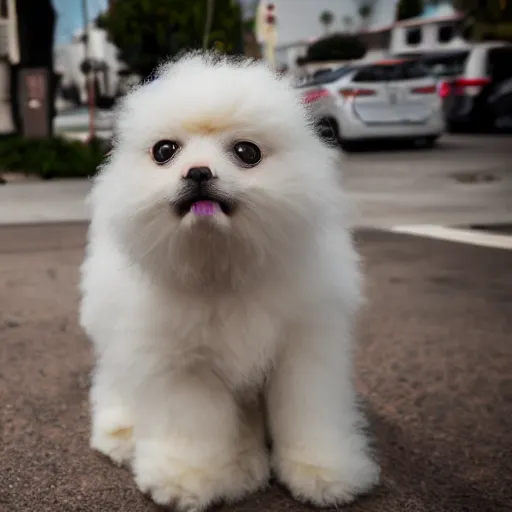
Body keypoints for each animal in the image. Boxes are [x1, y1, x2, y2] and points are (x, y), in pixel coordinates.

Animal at [79, 50, 376, 510]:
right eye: (165, 151)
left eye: (247, 152)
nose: (198, 172)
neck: (221, 267)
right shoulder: (182, 364)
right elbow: (191, 426)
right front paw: (186, 480)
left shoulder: (304, 350)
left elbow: (308, 413)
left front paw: (323, 472)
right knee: (113, 387)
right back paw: (125, 434)